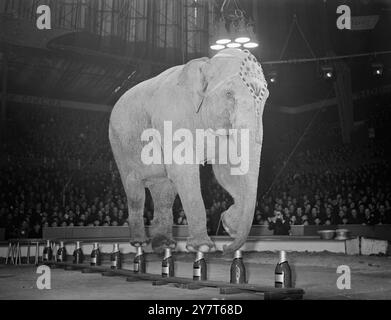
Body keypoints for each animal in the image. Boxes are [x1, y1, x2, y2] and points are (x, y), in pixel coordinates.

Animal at [109, 48, 270, 252]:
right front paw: (203, 247)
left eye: (266, 98)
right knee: (135, 191)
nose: (226, 247)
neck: (204, 63)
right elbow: (184, 170)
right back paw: (140, 243)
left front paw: (229, 225)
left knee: (165, 192)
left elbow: (225, 171)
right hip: (120, 145)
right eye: (228, 93)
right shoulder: (171, 117)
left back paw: (164, 244)